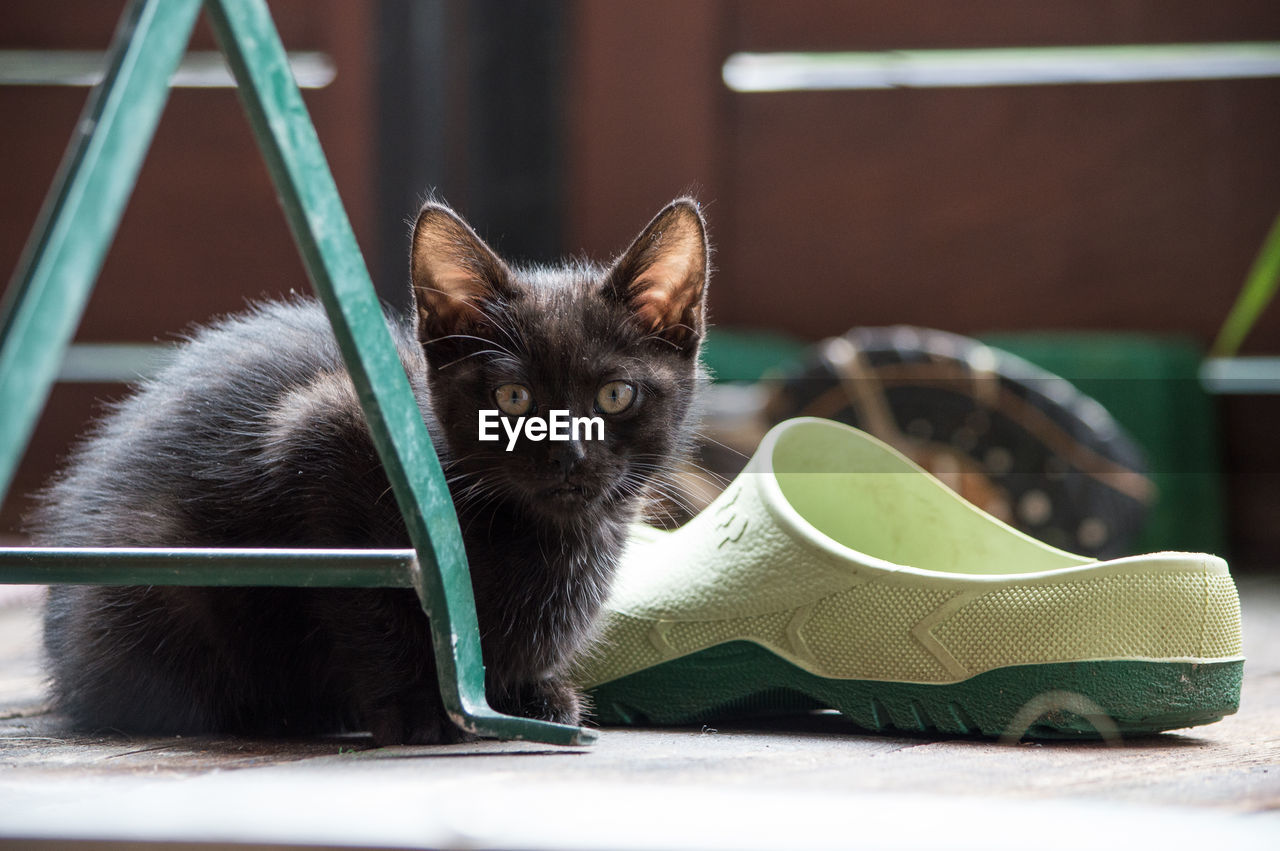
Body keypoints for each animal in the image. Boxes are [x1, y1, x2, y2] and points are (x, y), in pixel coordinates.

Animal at [32, 199, 711, 742]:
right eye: (512, 398)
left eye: (615, 396)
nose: (567, 454)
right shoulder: (326, 437)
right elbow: (370, 600)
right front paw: (419, 706)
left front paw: (529, 693)